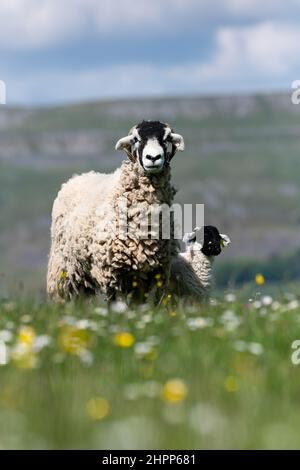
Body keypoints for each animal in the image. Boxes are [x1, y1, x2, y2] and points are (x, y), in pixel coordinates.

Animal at [46, 120, 185, 302]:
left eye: (166, 138)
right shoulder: (112, 271)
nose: (153, 158)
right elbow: (118, 302)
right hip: (65, 267)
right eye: (136, 139)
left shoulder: (158, 271)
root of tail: (76, 177)